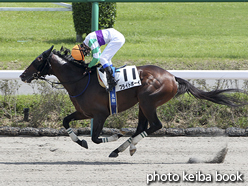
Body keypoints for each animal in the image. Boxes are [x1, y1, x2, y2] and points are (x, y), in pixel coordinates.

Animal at [20, 45, 247, 158]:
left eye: (38, 60)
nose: (23, 75)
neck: (80, 80)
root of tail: (172, 77)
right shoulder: (84, 112)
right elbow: (66, 122)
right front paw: (81, 142)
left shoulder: (100, 114)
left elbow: (96, 137)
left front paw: (113, 135)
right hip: (142, 104)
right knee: (142, 127)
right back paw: (124, 148)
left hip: (148, 101)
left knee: (155, 125)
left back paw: (119, 147)